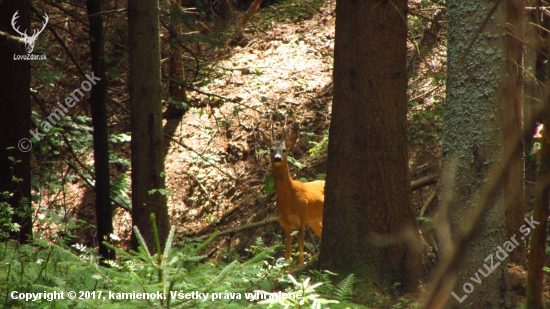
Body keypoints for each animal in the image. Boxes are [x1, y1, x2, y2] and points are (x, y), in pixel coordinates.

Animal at [262, 130, 326, 264]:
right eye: (271, 149)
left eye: (284, 149)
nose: (277, 158)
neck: (288, 197)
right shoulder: (285, 224)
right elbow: (287, 256)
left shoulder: (300, 220)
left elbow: (300, 253)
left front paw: (301, 266)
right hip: (313, 220)